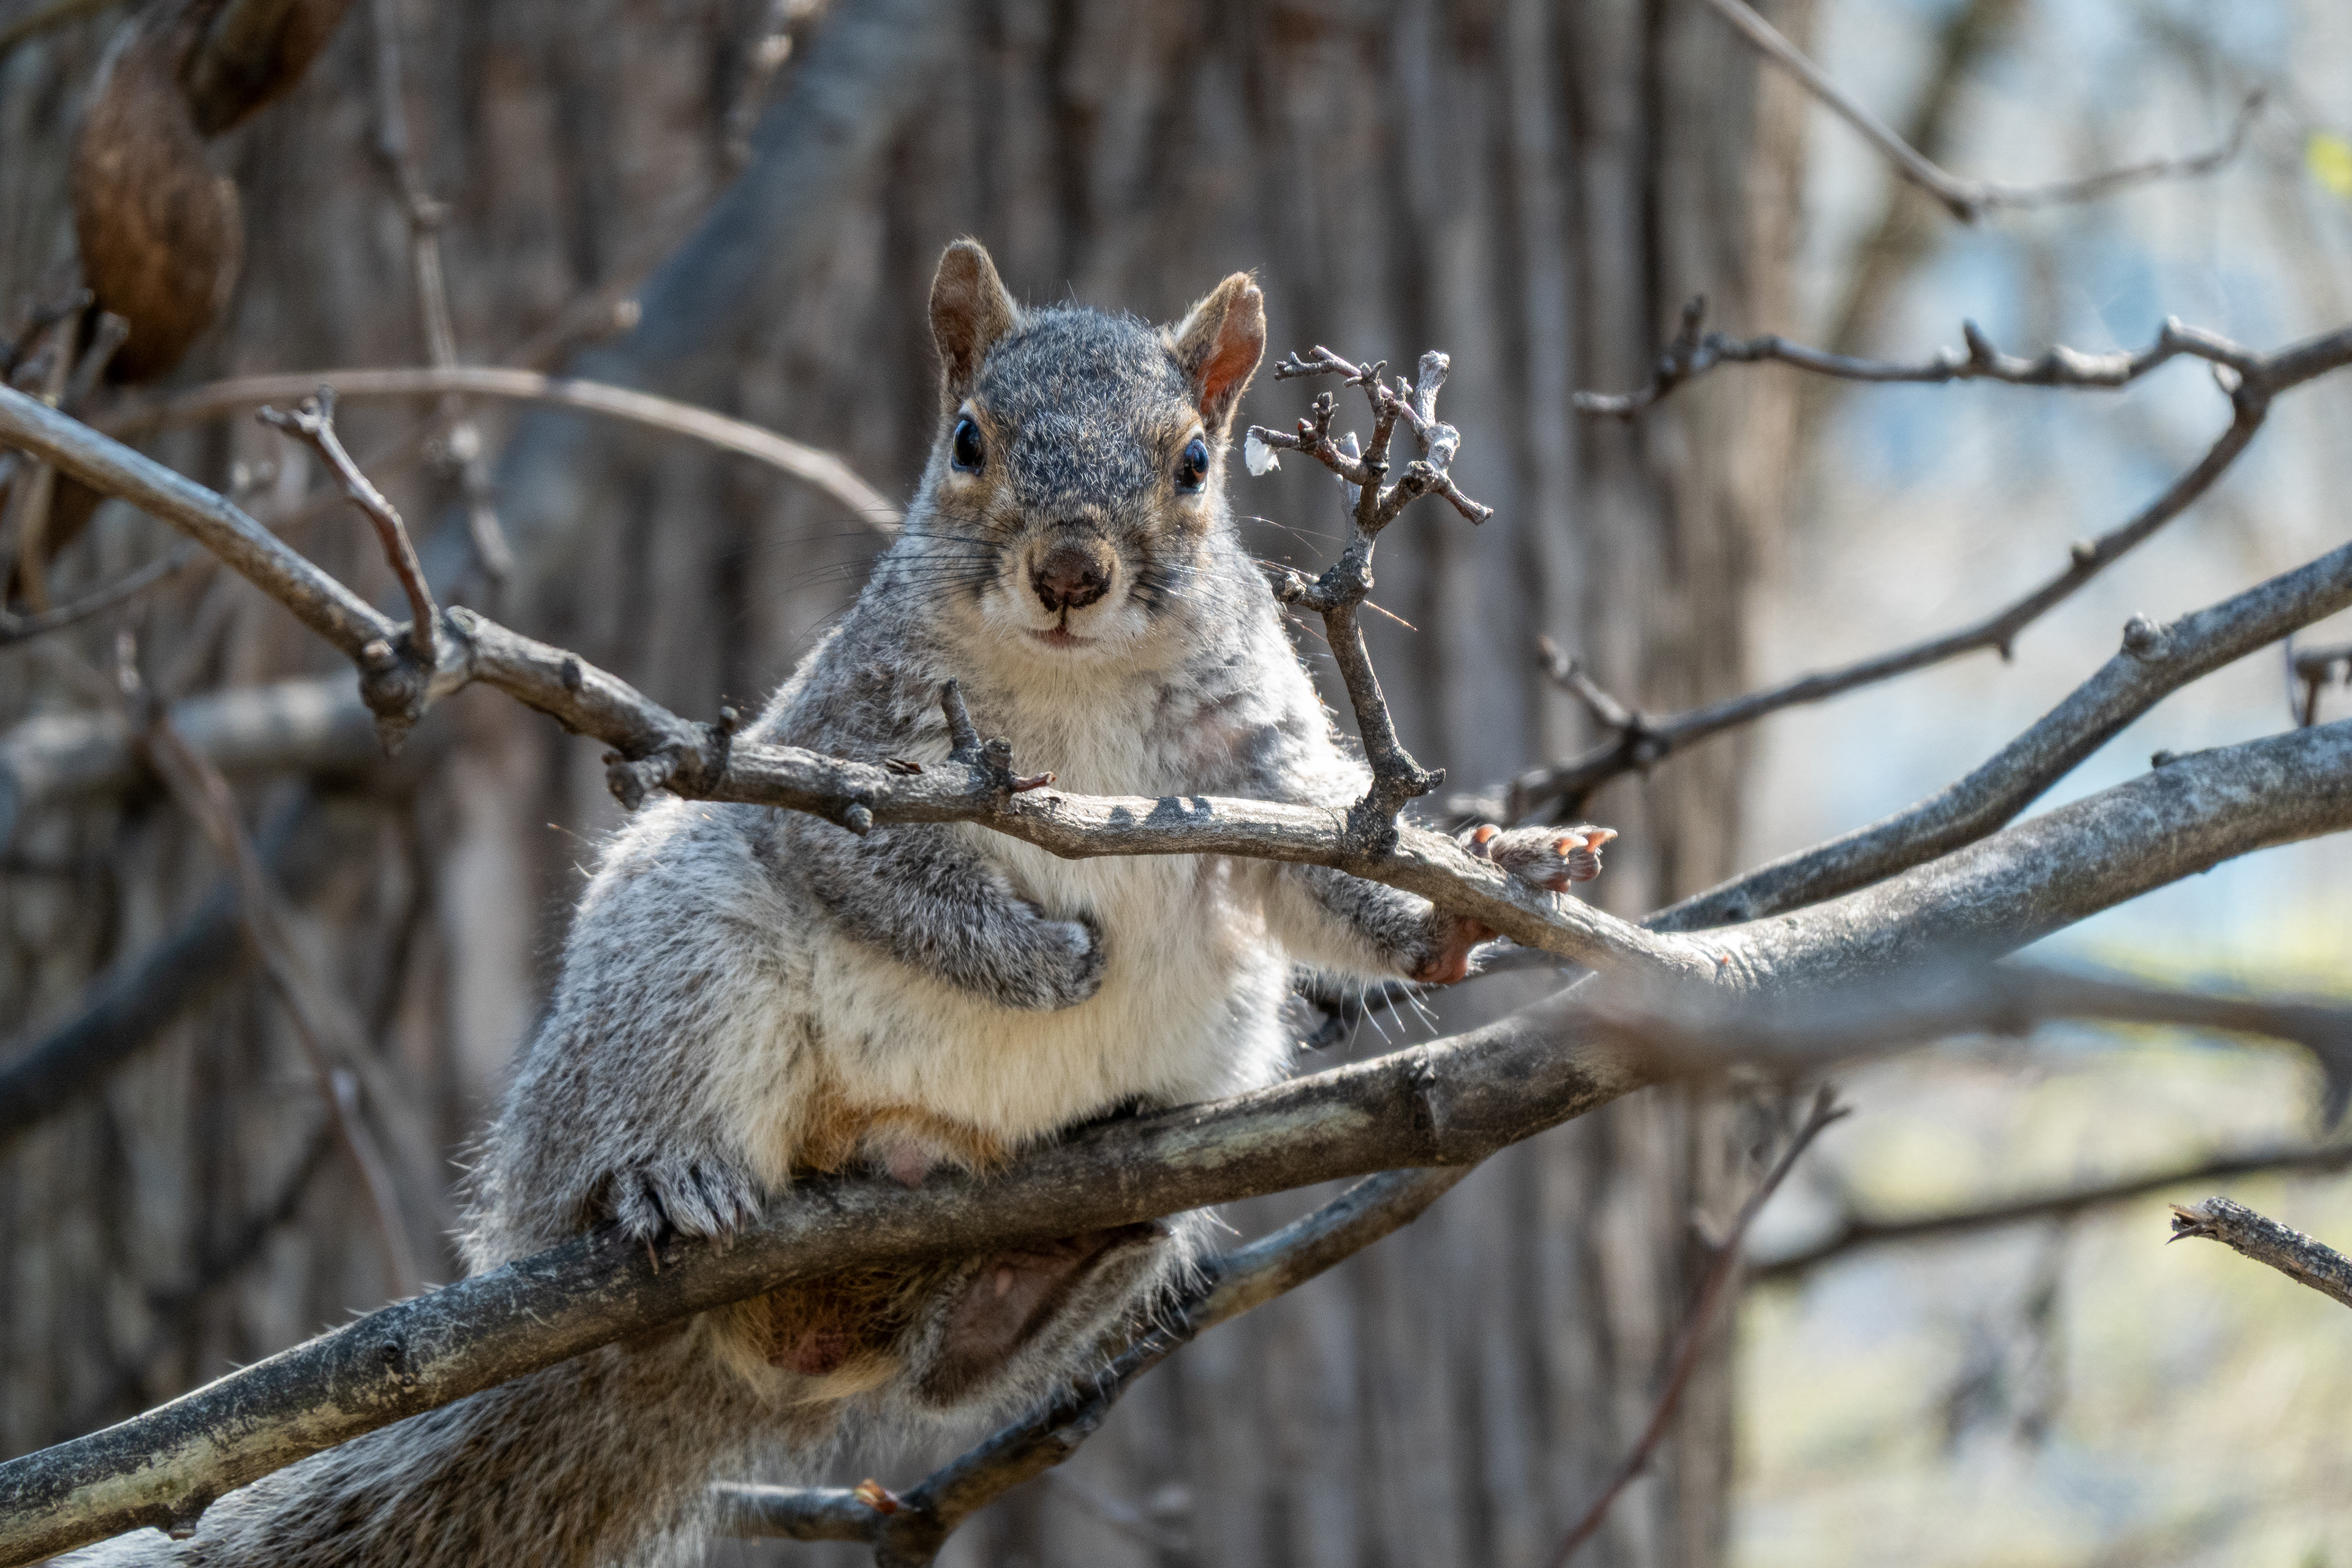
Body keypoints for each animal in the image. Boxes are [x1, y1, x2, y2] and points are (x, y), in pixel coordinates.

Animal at [69, 241, 1611, 1567]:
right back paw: (661, 1179)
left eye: (1193, 464)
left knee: (944, 1371)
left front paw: (1483, 892)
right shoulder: (837, 756)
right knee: (601, 1172)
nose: (1070, 571)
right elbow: (875, 873)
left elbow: (1318, 870)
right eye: (967, 441)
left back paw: (1036, 1267)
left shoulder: (1259, 765)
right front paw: (1039, 957)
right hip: (675, 966)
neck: (1074, 682)